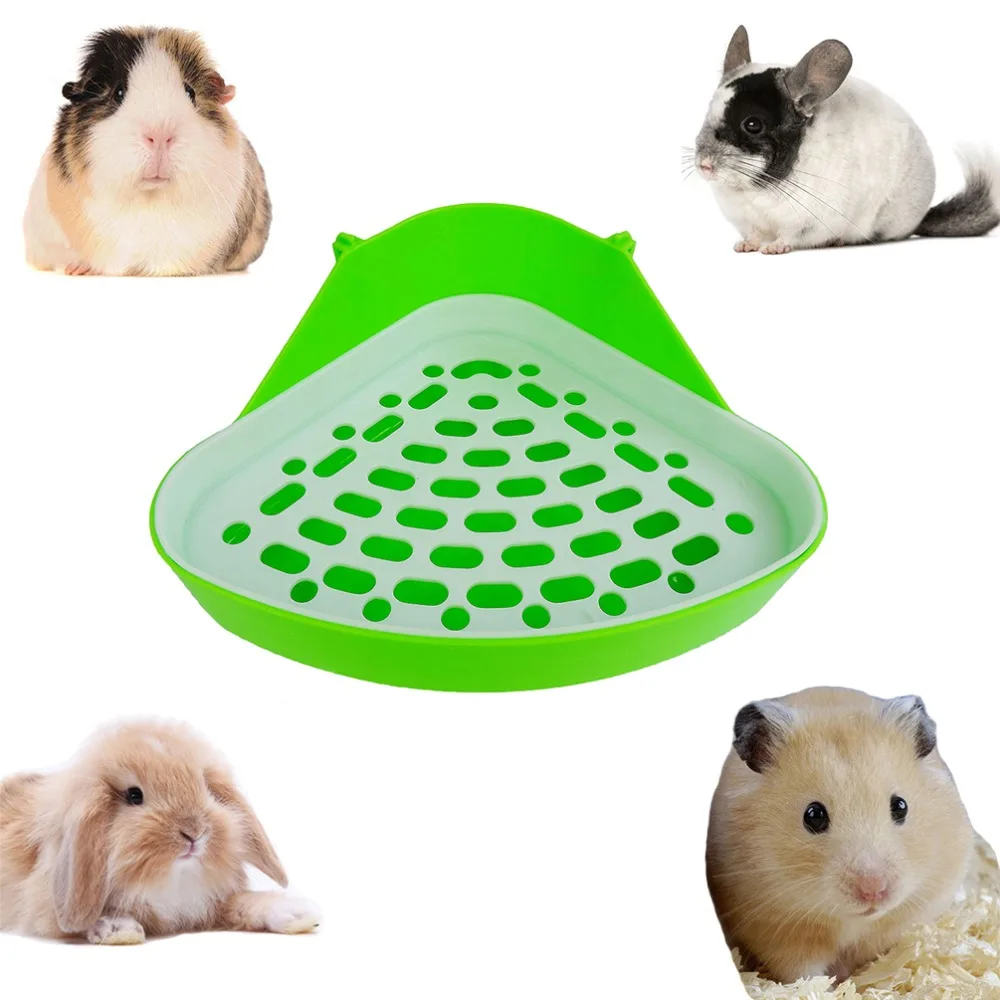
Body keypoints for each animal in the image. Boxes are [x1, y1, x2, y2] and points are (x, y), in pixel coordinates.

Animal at [0, 719, 320, 944]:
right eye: (134, 796)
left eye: (206, 788)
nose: (194, 833)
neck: (170, 880)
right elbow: (72, 922)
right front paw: (118, 929)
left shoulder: (210, 902)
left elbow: (242, 902)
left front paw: (299, 914)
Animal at [690, 26, 1000, 253]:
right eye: (707, 111)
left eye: (753, 124)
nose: (704, 165)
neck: (756, 190)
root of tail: (920, 218)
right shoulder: (749, 220)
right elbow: (754, 234)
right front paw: (745, 246)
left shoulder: (805, 223)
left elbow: (788, 236)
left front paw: (773, 249)